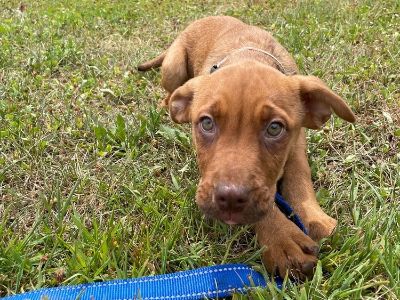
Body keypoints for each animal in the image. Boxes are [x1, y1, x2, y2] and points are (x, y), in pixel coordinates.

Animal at [138, 16, 356, 278]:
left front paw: (313, 217)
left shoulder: (297, 139)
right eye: (207, 123)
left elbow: (298, 172)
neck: (249, 55)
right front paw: (281, 238)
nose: (230, 200)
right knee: (170, 91)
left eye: (275, 128)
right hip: (174, 67)